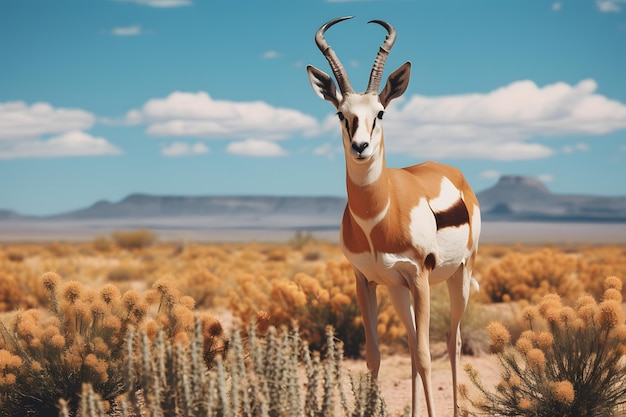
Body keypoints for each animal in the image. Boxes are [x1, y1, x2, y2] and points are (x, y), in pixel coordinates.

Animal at [306, 17, 478, 416]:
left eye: (380, 112)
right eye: (341, 113)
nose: (361, 147)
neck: (377, 219)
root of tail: (452, 172)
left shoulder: (420, 277)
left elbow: (426, 356)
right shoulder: (365, 281)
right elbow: (375, 356)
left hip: (459, 275)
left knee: (452, 341)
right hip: (398, 291)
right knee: (415, 346)